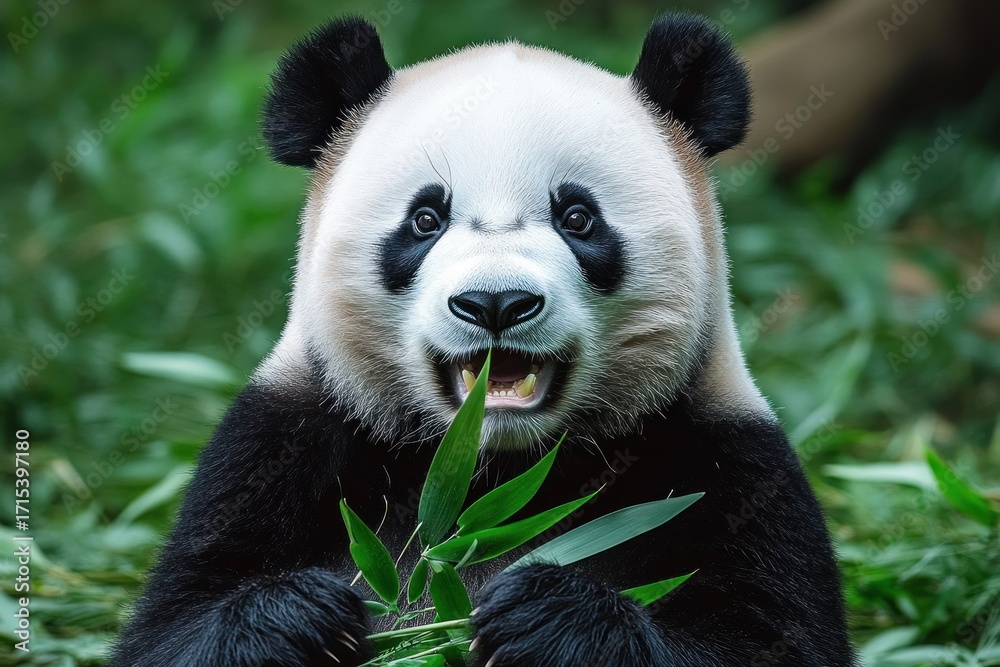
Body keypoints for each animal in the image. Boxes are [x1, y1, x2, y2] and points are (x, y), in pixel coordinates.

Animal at [112, 14, 854, 667]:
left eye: (578, 217)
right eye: (425, 218)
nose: (495, 302)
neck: (488, 470)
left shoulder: (727, 463)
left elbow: (773, 639)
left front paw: (546, 614)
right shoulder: (280, 444)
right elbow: (171, 627)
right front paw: (303, 615)